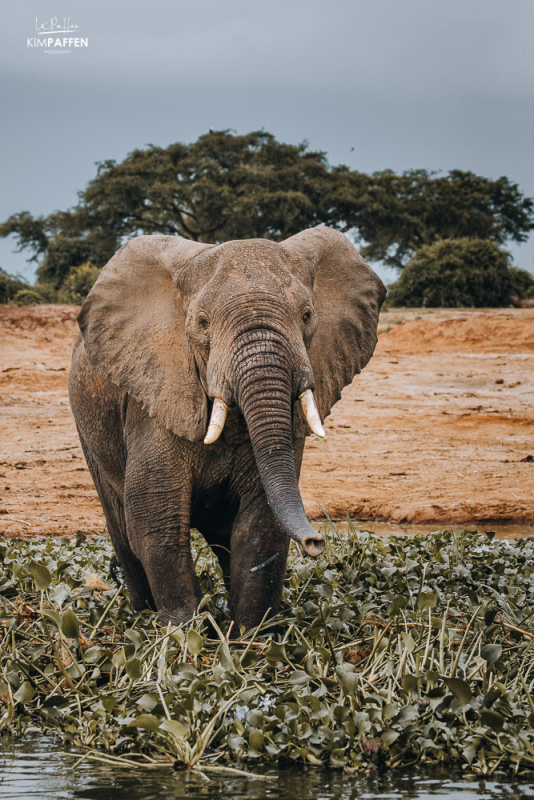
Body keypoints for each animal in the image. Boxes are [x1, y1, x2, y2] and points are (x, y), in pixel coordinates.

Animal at [69, 225, 388, 632]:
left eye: (306, 315)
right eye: (202, 322)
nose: (316, 542)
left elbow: (259, 525)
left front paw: (251, 637)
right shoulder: (153, 398)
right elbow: (156, 521)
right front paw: (183, 634)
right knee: (124, 532)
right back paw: (140, 617)